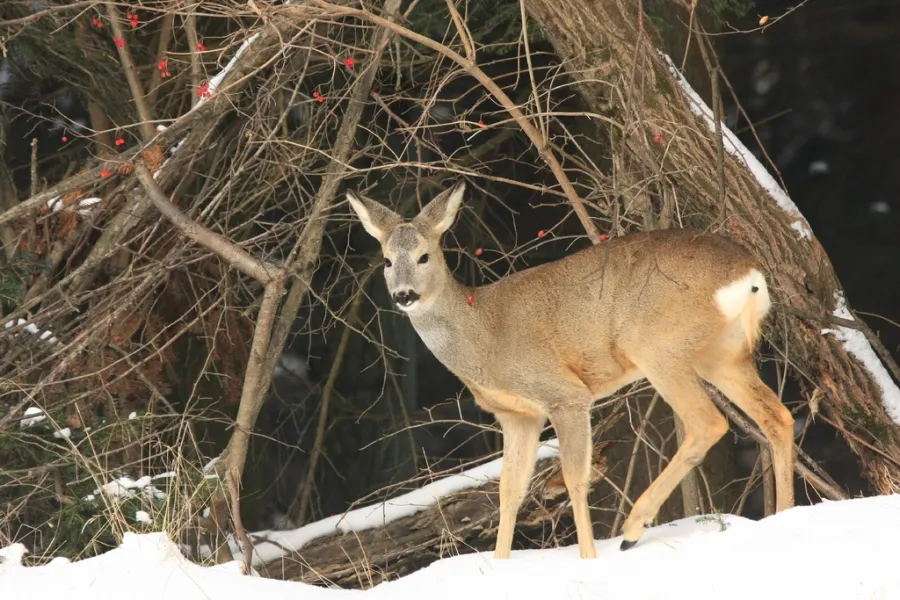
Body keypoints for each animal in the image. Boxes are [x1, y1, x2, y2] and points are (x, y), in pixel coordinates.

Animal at [346, 181, 796, 559]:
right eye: (386, 260)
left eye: (424, 256)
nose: (404, 295)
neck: (484, 335)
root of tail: (749, 274)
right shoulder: (518, 416)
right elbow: (509, 491)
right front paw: (500, 565)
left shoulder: (563, 394)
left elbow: (575, 479)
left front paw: (587, 558)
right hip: (720, 353)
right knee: (778, 416)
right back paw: (784, 516)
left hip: (657, 346)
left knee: (708, 422)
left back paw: (632, 530)